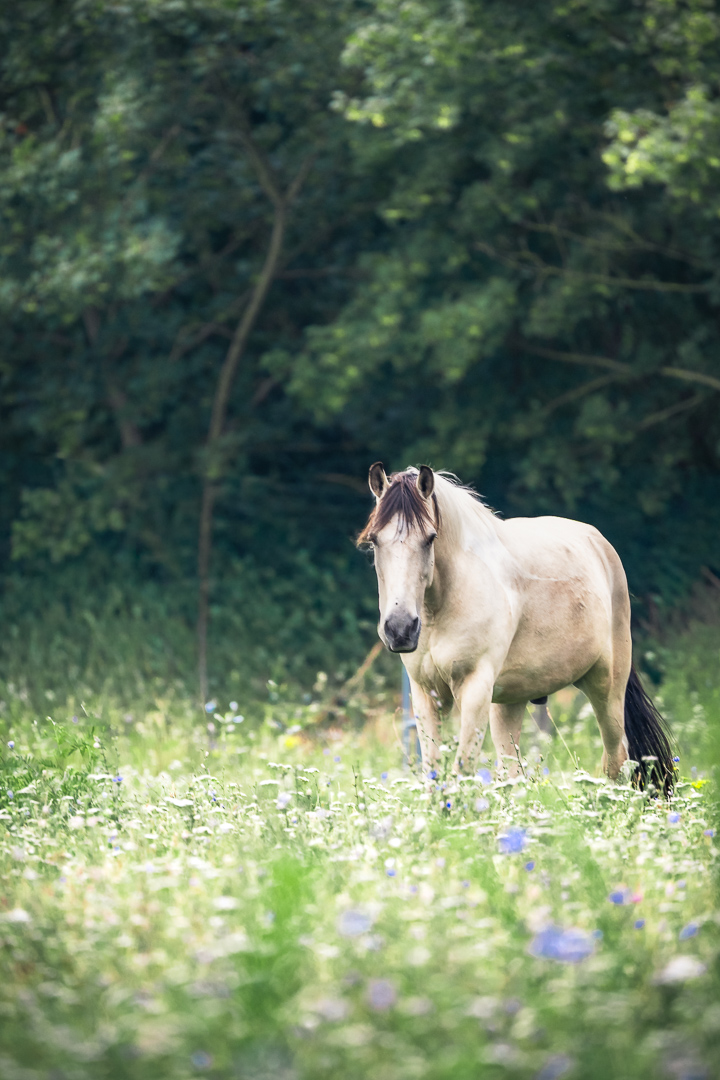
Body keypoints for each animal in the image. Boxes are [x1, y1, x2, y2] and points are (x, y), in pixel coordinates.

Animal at [358, 463, 674, 794]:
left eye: (430, 538)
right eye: (375, 540)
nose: (400, 628)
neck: (443, 604)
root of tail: (601, 545)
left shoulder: (475, 689)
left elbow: (462, 770)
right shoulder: (426, 694)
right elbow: (433, 773)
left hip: (606, 689)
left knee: (617, 762)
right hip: (510, 703)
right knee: (512, 773)